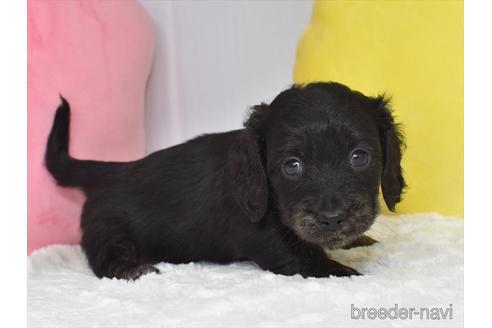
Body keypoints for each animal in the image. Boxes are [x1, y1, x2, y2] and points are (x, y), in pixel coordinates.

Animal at [45, 82, 404, 280]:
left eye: (359, 157)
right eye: (292, 166)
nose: (332, 218)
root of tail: (114, 170)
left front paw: (356, 241)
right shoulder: (267, 237)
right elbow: (305, 258)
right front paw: (345, 272)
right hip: (108, 228)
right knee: (103, 257)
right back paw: (130, 269)